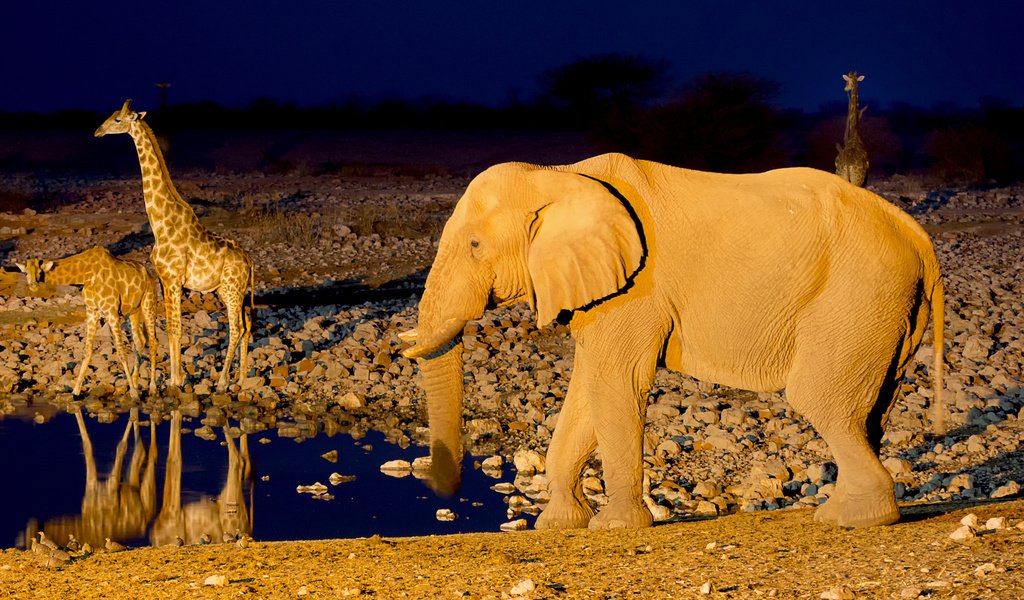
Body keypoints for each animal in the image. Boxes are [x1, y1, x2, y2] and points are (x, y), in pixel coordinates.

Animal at [16, 245, 157, 399]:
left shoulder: (112, 312)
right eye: (26, 272)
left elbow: (121, 351)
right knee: (139, 341)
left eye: (40, 271)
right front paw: (75, 391)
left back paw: (152, 388)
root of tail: (149, 275)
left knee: (153, 341)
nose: (33, 285)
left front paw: (133, 393)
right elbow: (87, 351)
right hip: (132, 312)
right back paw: (137, 383)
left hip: (148, 303)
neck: (87, 275)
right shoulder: (91, 312)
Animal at [95, 100, 254, 389]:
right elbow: (169, 328)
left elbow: (175, 328)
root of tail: (249, 260)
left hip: (232, 290)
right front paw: (172, 378)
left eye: (118, 119)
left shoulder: (173, 279)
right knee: (246, 324)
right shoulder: (163, 279)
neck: (160, 223)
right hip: (230, 291)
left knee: (236, 327)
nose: (98, 131)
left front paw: (174, 381)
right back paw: (242, 376)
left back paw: (222, 382)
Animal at [399, 151, 942, 524]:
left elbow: (616, 384)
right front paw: (558, 526)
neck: (558, 174)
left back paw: (852, 519)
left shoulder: (636, 289)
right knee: (870, 410)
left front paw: (615, 528)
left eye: (474, 245)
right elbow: (587, 389)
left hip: (856, 295)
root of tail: (916, 234)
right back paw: (844, 510)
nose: (442, 490)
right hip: (886, 310)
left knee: (820, 399)